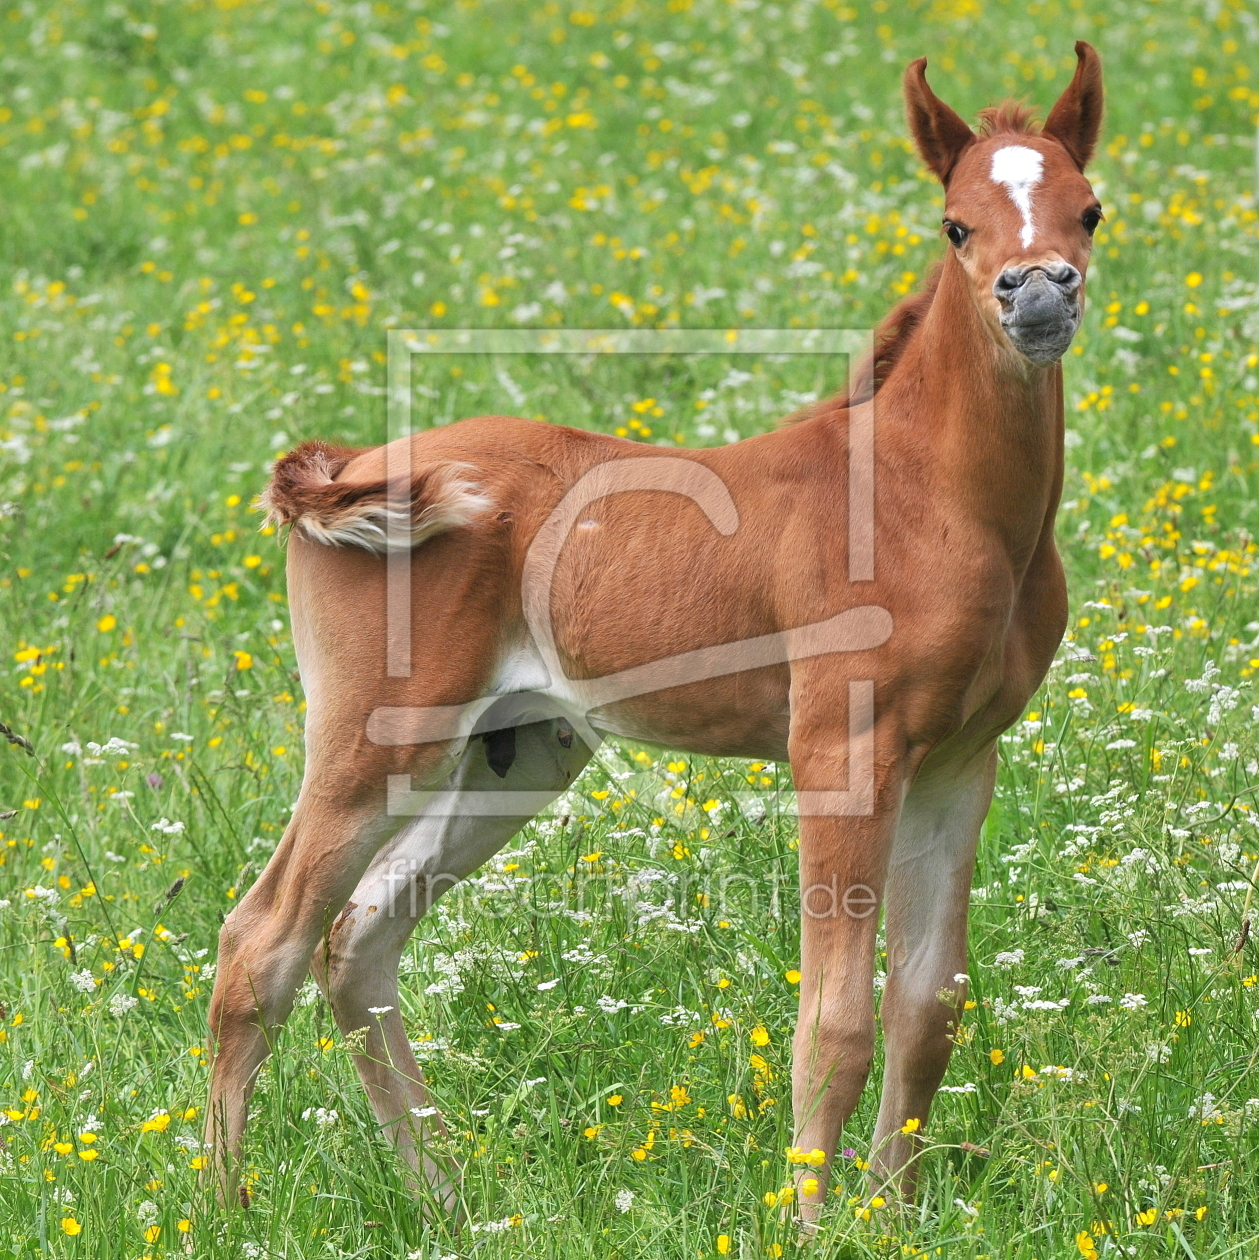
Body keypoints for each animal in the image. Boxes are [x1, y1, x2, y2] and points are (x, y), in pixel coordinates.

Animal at [206, 49, 1103, 1219]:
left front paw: (894, 1216)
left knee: (356, 941)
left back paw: (448, 1199)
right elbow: (833, 1024)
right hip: (375, 737)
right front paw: (811, 1224)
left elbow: (926, 1005)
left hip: (516, 753)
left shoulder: (959, 760)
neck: (932, 499)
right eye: (955, 224)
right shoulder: (843, 752)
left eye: (1089, 211)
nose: (1038, 291)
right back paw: (225, 1208)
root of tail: (350, 465)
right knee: (260, 943)